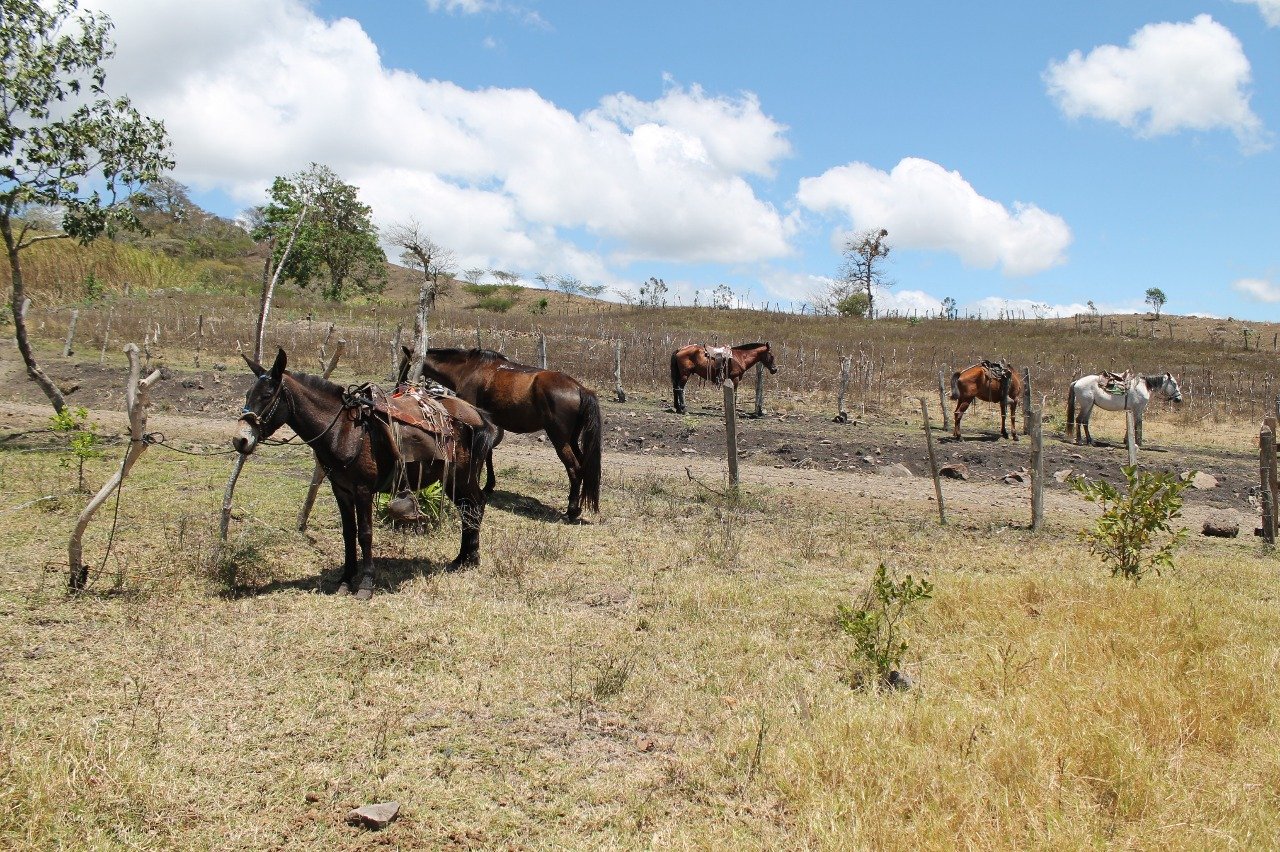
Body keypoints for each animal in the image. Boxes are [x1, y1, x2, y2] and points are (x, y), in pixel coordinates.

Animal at [235, 347, 499, 593]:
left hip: (462, 477)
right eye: (247, 394)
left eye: (267, 395)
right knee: (468, 508)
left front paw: (366, 583)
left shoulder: (362, 490)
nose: (240, 440)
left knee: (476, 505)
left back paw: (471, 559)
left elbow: (365, 533)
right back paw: (461, 559)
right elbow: (348, 533)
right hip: (452, 480)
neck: (343, 431)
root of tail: (478, 415)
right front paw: (345, 579)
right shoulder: (341, 491)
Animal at [414, 345, 604, 516]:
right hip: (572, 439)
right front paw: (488, 485)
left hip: (560, 440)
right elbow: (488, 453)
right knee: (583, 465)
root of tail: (580, 389)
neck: (468, 368)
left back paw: (571, 510)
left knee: (574, 468)